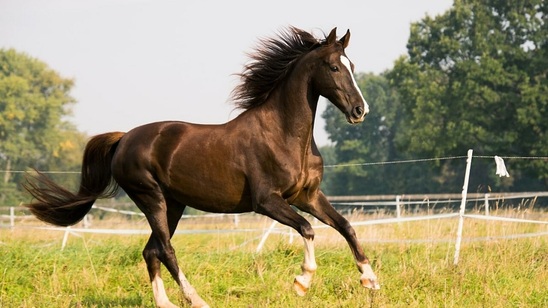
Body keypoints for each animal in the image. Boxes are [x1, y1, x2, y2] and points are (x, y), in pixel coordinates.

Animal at [23, 27, 378, 308]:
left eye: (353, 66)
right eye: (334, 67)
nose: (360, 111)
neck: (284, 135)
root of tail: (124, 139)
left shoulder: (308, 196)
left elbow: (346, 226)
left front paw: (370, 280)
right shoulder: (267, 202)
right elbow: (307, 229)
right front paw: (302, 282)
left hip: (173, 205)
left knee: (150, 251)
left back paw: (166, 303)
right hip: (151, 198)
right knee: (165, 250)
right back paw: (196, 299)